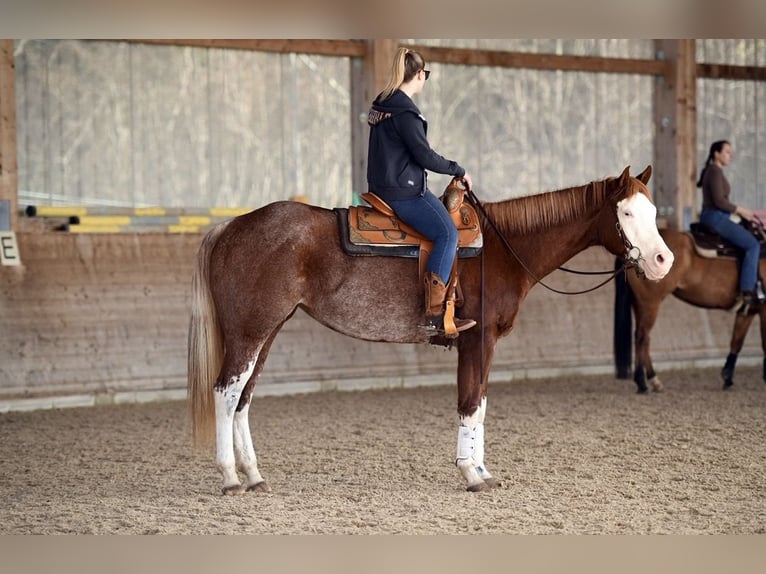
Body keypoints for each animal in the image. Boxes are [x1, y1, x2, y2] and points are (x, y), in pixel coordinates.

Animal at [187, 165, 674, 494]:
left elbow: (480, 404)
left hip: (266, 332)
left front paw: (482, 470)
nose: (663, 261)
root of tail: (230, 226)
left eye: (652, 210)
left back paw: (253, 475)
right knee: (226, 392)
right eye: (626, 212)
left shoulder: (483, 344)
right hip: (250, 332)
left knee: (243, 398)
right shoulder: (477, 340)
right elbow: (470, 404)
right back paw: (230, 477)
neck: (501, 250)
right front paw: (471, 473)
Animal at [619, 226, 766, 393]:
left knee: (644, 338)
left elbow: (736, 342)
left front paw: (727, 377)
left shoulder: (748, 311)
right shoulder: (764, 310)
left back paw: (653, 381)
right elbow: (764, 344)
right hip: (650, 303)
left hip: (640, 303)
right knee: (642, 337)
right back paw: (642, 382)